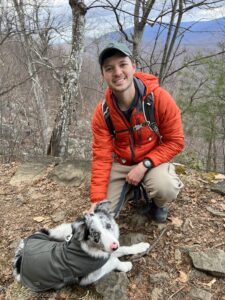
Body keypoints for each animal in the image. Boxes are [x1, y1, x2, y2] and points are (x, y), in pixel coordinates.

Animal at [12, 200, 149, 292]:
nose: (114, 246)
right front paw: (126, 265)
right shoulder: (89, 276)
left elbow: (124, 249)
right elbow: (113, 261)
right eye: (95, 234)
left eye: (108, 226)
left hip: (49, 232)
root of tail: (19, 256)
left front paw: (142, 246)